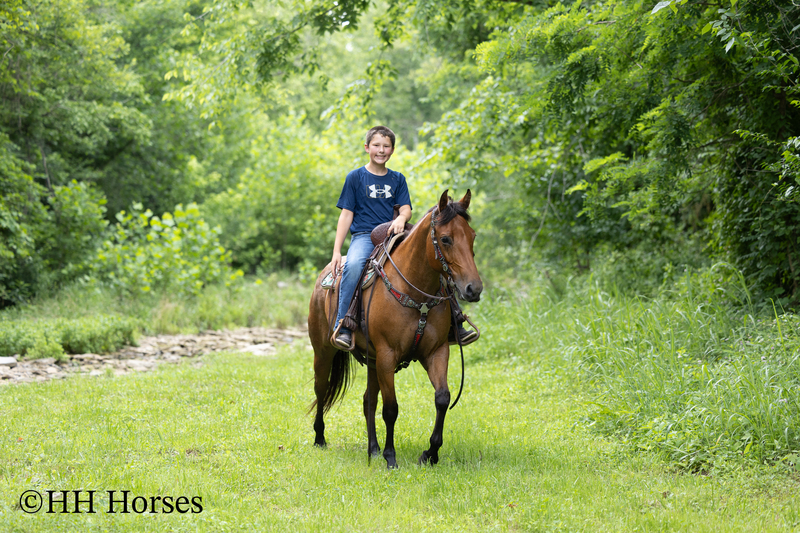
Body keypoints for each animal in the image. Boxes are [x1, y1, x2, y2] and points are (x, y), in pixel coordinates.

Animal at [307, 189, 483, 469]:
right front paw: (391, 457)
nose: (473, 289)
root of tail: (323, 275)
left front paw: (430, 453)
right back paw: (320, 438)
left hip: (372, 360)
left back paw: (373, 448)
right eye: (446, 239)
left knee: (367, 400)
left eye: (472, 236)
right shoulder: (388, 355)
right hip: (324, 351)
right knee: (321, 389)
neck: (414, 290)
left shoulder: (436, 351)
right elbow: (391, 408)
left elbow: (442, 398)